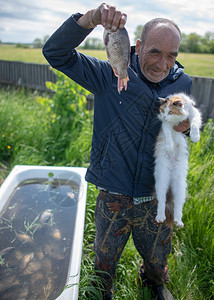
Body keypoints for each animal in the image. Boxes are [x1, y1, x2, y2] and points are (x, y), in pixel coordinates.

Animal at [155, 92, 201, 226]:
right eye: (162, 111)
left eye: (170, 112)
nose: (164, 116)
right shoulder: (165, 124)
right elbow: (167, 134)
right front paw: (169, 146)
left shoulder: (194, 112)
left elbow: (194, 123)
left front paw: (195, 136)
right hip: (161, 181)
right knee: (161, 201)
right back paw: (160, 217)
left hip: (180, 187)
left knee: (178, 206)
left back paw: (178, 221)